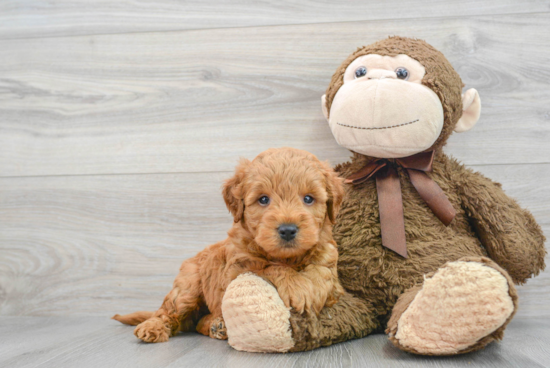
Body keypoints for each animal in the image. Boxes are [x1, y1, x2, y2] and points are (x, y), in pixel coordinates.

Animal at [112, 147, 344, 342]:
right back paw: (153, 327)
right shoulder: (237, 270)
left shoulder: (329, 262)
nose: (287, 230)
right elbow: (267, 267)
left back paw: (217, 326)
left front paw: (311, 291)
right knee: (170, 311)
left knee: (198, 322)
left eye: (308, 198)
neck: (288, 258)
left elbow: (322, 275)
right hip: (187, 286)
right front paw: (296, 286)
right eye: (263, 199)